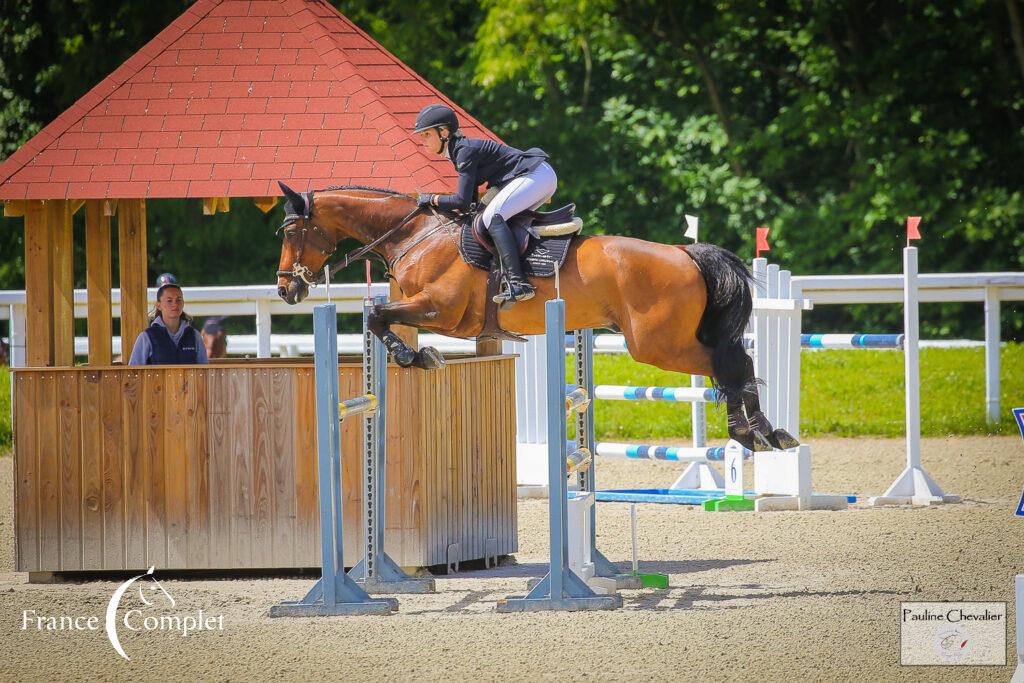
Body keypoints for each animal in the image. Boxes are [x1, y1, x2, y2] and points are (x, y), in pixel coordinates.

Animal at [276, 180, 794, 454]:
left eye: (292, 231)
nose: (286, 289)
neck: (416, 235)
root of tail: (686, 253)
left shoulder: (441, 311)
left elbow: (377, 317)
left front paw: (415, 357)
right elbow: (378, 317)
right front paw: (417, 356)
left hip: (655, 345)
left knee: (729, 366)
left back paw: (750, 433)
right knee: (736, 365)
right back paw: (769, 432)